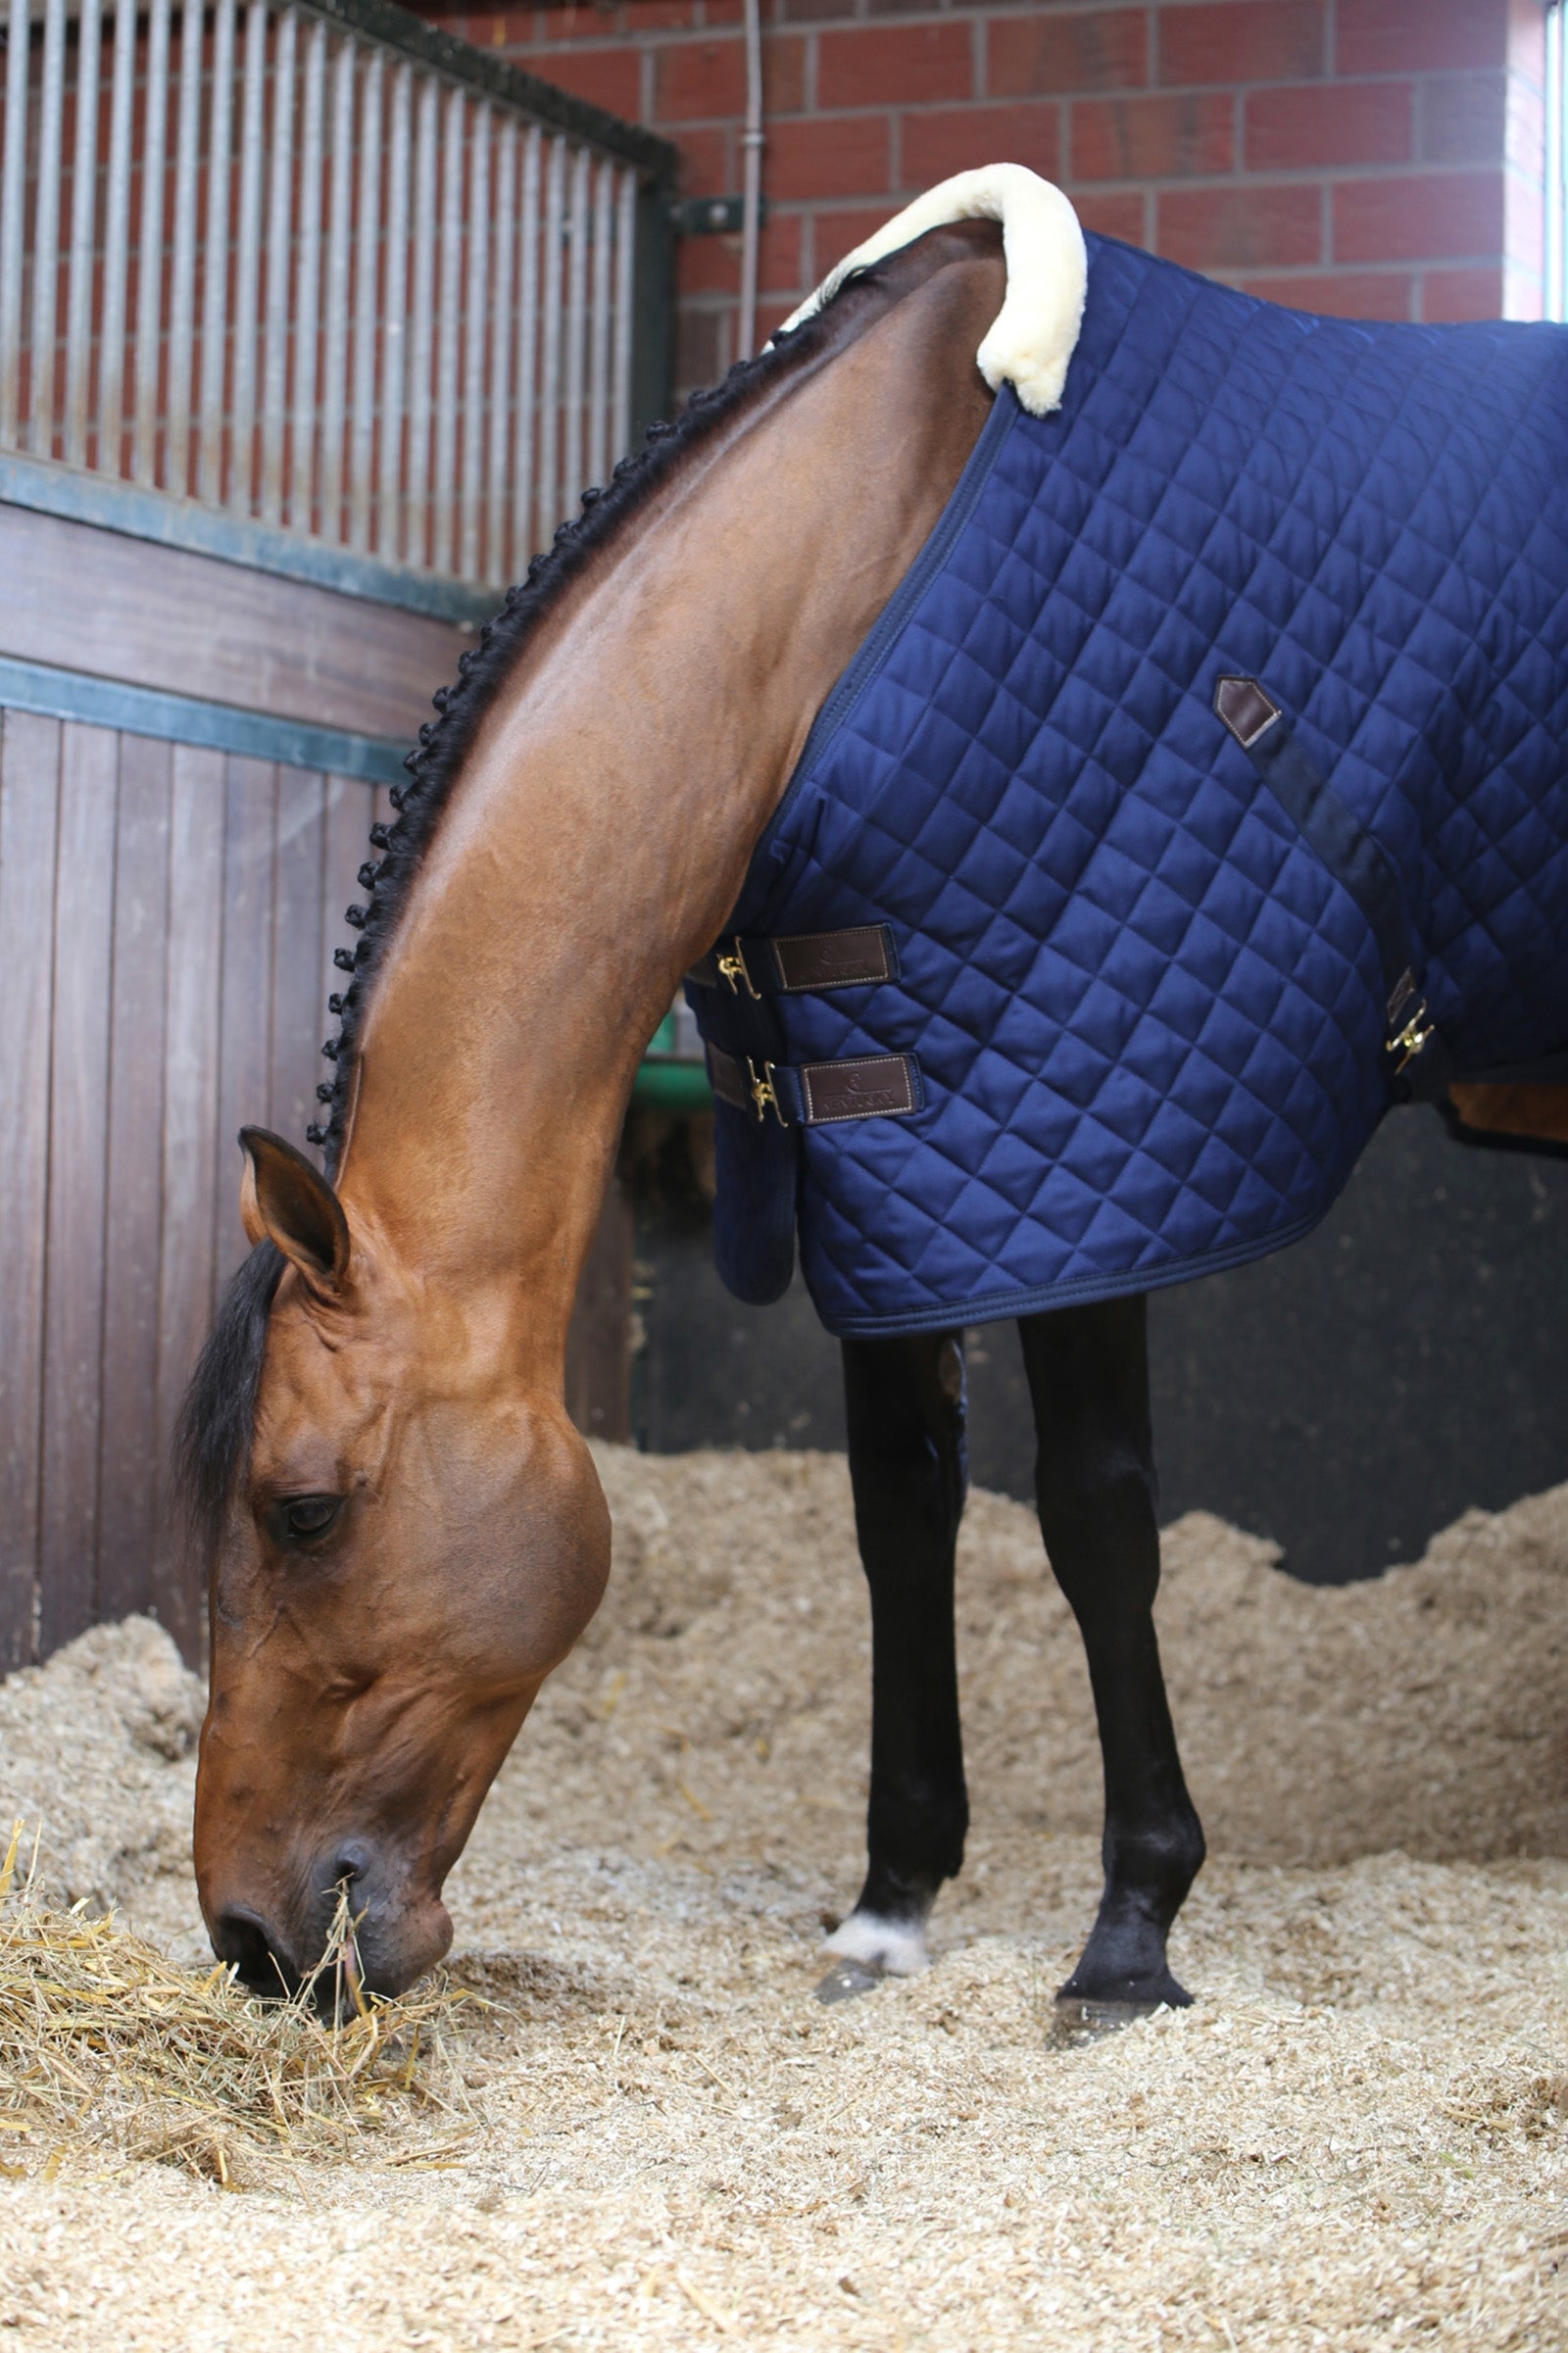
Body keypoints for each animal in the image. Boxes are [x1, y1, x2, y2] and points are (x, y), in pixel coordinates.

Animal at [179, 167, 1568, 2020]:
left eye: (305, 1509)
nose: (254, 1939)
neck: (850, 589)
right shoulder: (885, 1144)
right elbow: (901, 1514)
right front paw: (892, 1902)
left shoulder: (1073, 1146)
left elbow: (1093, 1517)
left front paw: (1133, 1927)